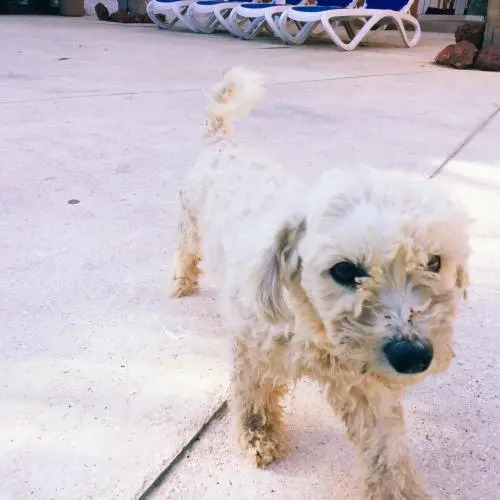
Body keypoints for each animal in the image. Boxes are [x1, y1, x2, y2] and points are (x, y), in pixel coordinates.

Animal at [171, 67, 470, 499]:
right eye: (344, 271)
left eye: (434, 262)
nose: (413, 356)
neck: (314, 328)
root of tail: (222, 140)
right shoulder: (252, 350)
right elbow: (251, 395)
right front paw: (259, 437)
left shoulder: (366, 383)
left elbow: (386, 445)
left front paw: (397, 489)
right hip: (190, 225)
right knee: (185, 253)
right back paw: (182, 283)